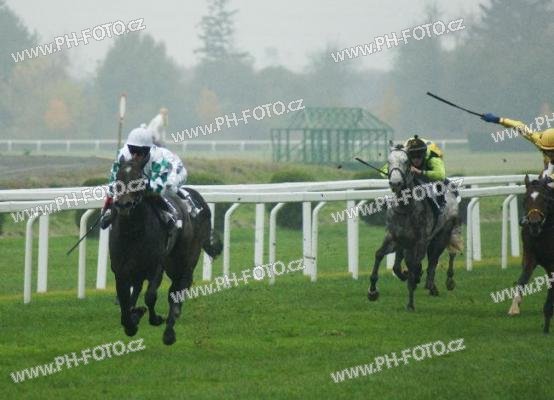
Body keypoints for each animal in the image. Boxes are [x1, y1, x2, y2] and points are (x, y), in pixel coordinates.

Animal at [110, 158, 222, 345]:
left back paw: (170, 331)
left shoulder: (156, 265)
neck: (133, 232)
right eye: (118, 177)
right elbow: (125, 304)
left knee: (179, 287)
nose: (124, 205)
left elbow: (150, 296)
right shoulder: (121, 270)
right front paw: (132, 320)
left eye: (139, 178)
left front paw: (155, 319)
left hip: (184, 260)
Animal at [367, 145, 463, 310]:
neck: (405, 208)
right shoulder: (393, 237)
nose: (395, 183)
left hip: (441, 236)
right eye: (388, 161)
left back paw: (437, 283)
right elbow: (379, 255)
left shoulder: (420, 242)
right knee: (406, 264)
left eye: (406, 161)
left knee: (434, 261)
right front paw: (372, 291)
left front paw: (410, 303)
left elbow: (414, 266)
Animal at [507, 175, 554, 333]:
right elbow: (522, 279)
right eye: (525, 199)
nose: (534, 223)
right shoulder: (530, 255)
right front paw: (514, 307)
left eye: (544, 199)